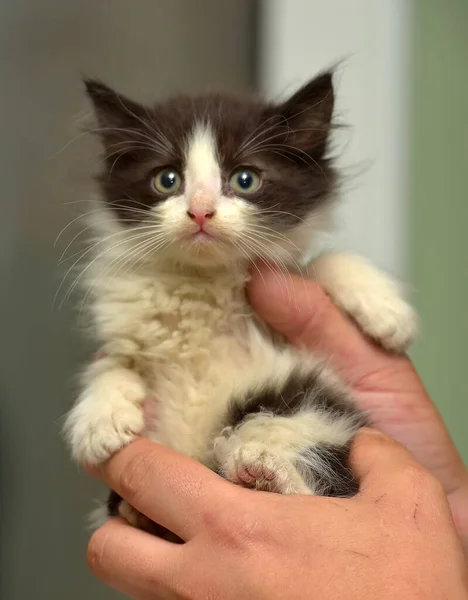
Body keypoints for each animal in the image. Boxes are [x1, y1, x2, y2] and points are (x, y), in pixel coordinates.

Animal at [63, 71, 416, 536]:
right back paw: (136, 510)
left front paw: (387, 310)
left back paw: (268, 476)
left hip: (301, 402)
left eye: (245, 179)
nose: (200, 211)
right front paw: (99, 419)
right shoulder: (128, 319)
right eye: (167, 179)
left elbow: (317, 264)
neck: (203, 283)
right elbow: (114, 363)